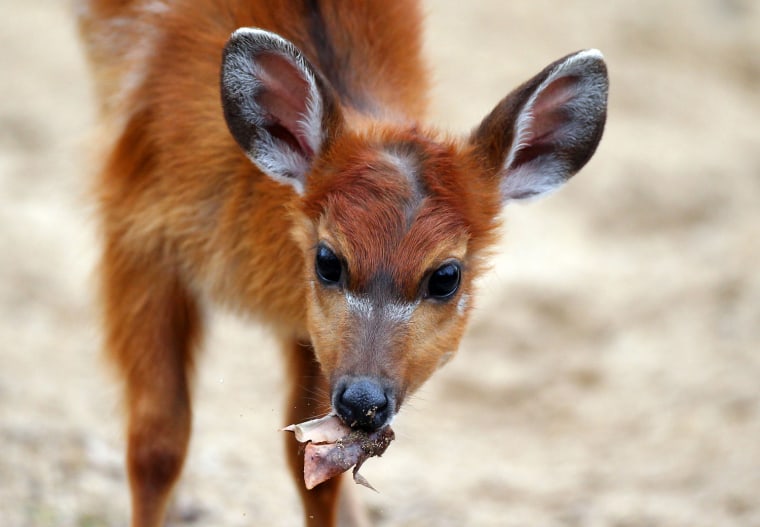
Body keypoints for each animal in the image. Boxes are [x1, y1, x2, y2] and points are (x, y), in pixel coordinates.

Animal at [77, 1, 608, 527]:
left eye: (446, 277)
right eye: (328, 261)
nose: (363, 403)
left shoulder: (310, 336)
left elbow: (310, 465)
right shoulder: (137, 230)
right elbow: (157, 443)